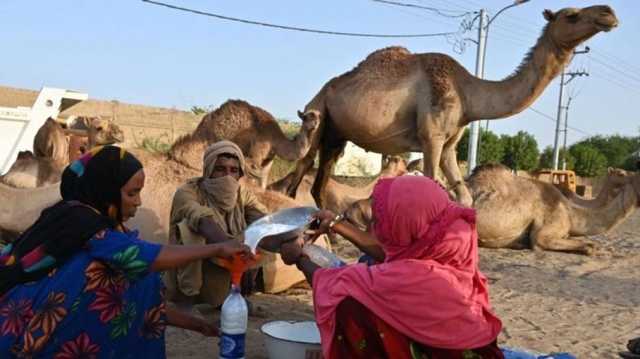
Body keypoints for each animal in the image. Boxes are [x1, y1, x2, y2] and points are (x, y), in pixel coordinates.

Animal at [170, 98, 320, 188]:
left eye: (318, 116)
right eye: (306, 117)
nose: (314, 124)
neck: (275, 139)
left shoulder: (268, 160)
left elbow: (263, 183)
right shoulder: (256, 154)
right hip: (214, 140)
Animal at [284, 4, 616, 208]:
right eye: (570, 16)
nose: (609, 13)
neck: (468, 93)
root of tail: (320, 91)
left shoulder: (449, 144)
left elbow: (464, 196)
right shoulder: (431, 137)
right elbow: (432, 186)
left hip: (336, 135)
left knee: (319, 183)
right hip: (318, 114)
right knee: (298, 175)